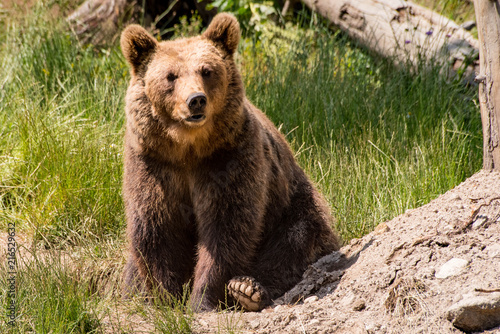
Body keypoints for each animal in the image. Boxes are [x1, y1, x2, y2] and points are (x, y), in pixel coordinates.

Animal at [120, 11, 340, 312]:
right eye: (170, 76)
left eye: (206, 71)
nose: (196, 100)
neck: (188, 149)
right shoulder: (153, 164)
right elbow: (158, 227)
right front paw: (166, 297)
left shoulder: (229, 158)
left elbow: (227, 227)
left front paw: (203, 299)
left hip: (293, 203)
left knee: (297, 241)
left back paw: (248, 289)